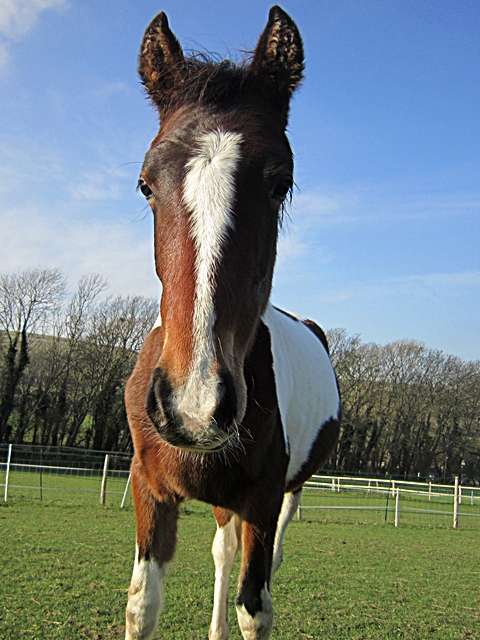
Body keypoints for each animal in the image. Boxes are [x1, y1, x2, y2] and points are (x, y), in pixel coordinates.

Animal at [124, 6, 341, 639]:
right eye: (145, 184)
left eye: (280, 182)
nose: (194, 407)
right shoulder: (149, 490)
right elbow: (143, 604)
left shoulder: (264, 500)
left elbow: (254, 606)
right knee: (222, 550)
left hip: (288, 495)